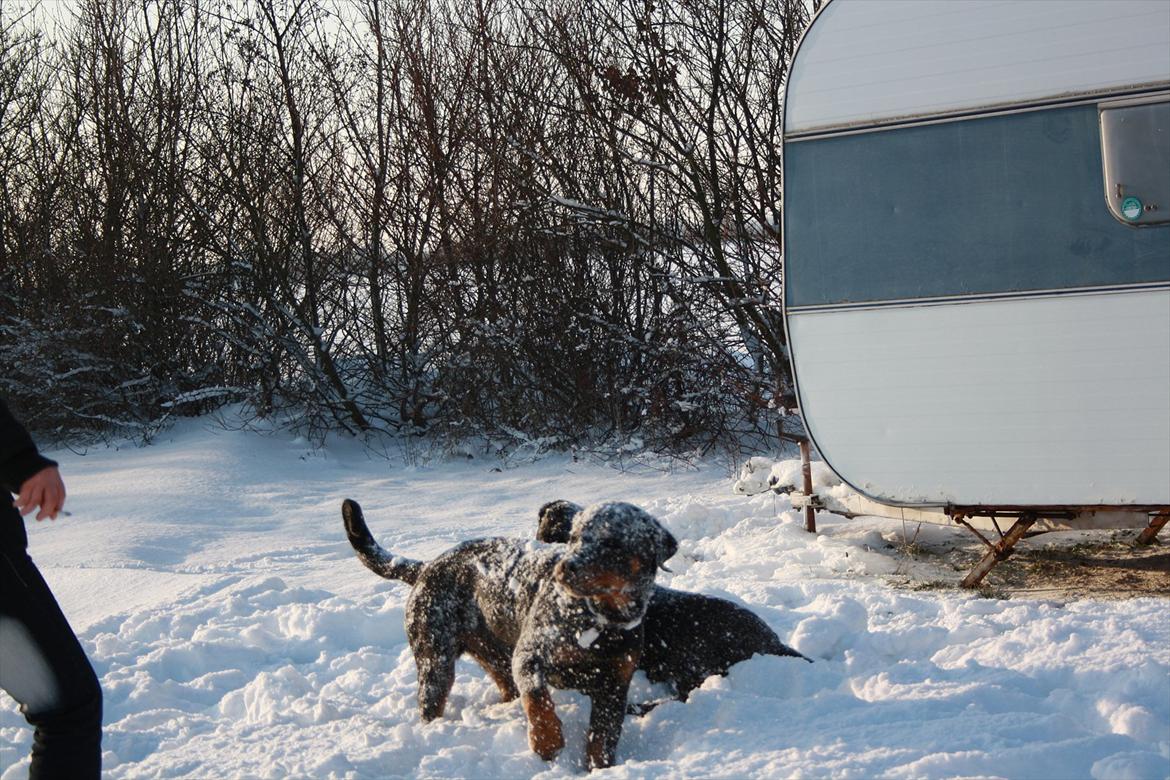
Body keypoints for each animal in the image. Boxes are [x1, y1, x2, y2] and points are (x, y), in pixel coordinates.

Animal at [341, 500, 678, 767]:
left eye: (611, 542)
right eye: (574, 538)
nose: (566, 567)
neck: (597, 620)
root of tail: (426, 566)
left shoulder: (614, 685)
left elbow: (602, 740)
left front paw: (599, 768)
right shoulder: (529, 657)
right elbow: (538, 702)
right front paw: (547, 742)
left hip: (495, 656)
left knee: (507, 687)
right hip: (436, 659)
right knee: (432, 701)